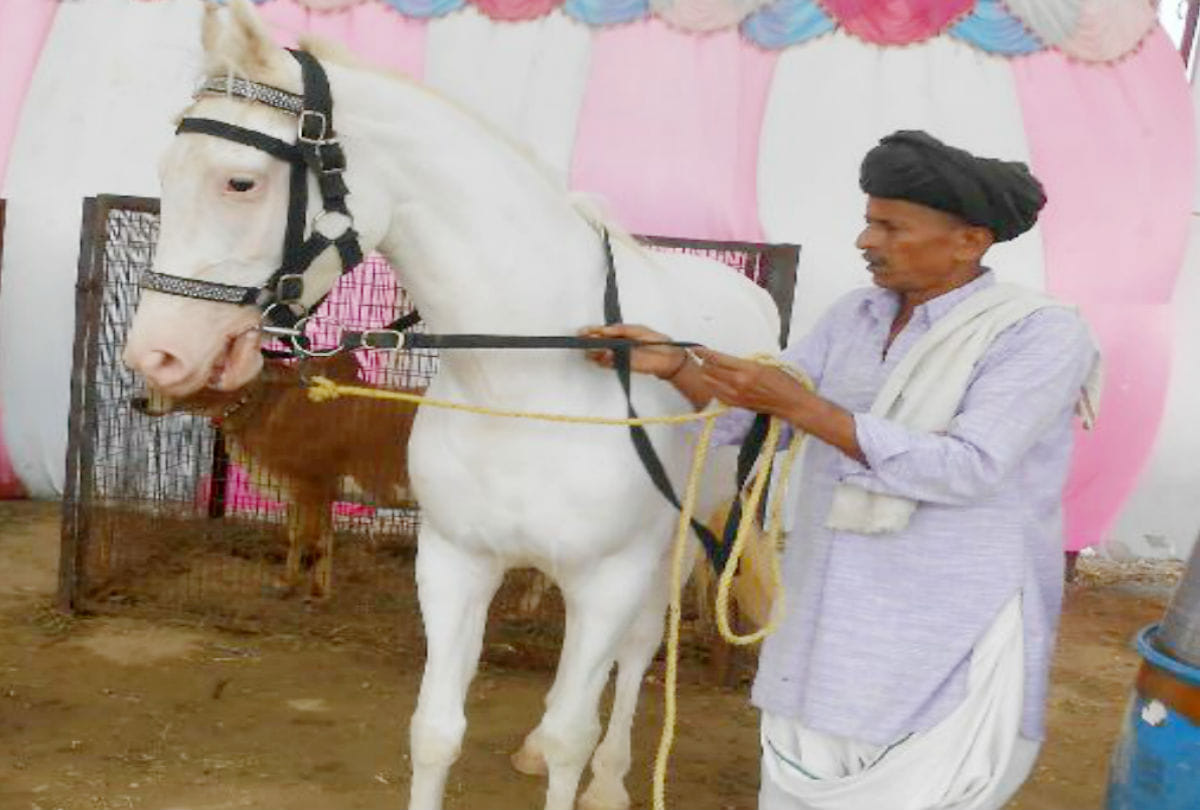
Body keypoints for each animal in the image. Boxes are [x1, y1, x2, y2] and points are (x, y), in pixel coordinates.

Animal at [121, 3, 780, 808]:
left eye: (240, 183)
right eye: (165, 174)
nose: (156, 355)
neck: (529, 382)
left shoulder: (609, 578)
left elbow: (576, 731)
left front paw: (582, 769)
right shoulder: (455, 563)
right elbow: (435, 731)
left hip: (680, 543)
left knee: (637, 649)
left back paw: (610, 780)